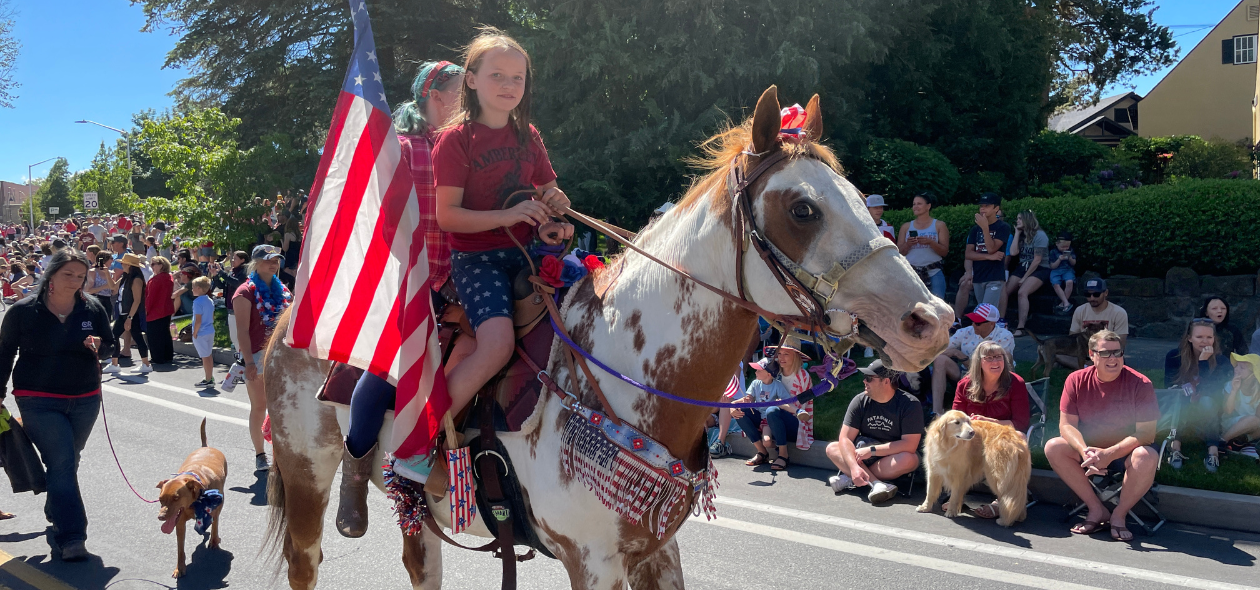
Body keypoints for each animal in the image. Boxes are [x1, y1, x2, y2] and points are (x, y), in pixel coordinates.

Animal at [156, 416, 228, 577]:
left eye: (176, 498)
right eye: (160, 499)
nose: (161, 517)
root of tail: (206, 446)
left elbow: (215, 523)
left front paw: (214, 540)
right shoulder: (179, 523)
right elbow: (180, 549)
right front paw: (180, 568)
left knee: (216, 521)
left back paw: (214, 539)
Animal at [268, 86, 952, 590]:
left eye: (858, 195)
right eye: (803, 209)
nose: (932, 320)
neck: (624, 372)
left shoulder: (657, 551)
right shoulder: (593, 561)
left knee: (420, 563)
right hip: (304, 473)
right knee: (307, 561)